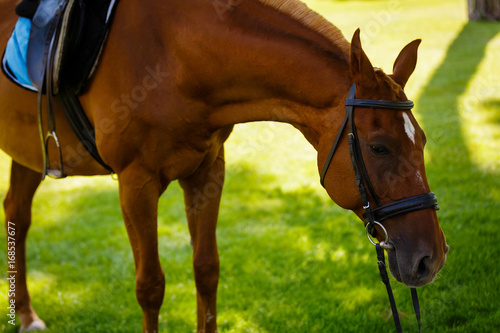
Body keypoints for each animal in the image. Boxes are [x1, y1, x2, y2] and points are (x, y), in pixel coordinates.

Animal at [0, 0, 450, 330]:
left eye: (423, 141)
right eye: (379, 148)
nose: (432, 257)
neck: (173, 53)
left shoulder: (207, 170)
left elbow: (206, 270)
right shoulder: (135, 182)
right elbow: (151, 285)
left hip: (29, 150)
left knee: (17, 215)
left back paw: (26, 315)